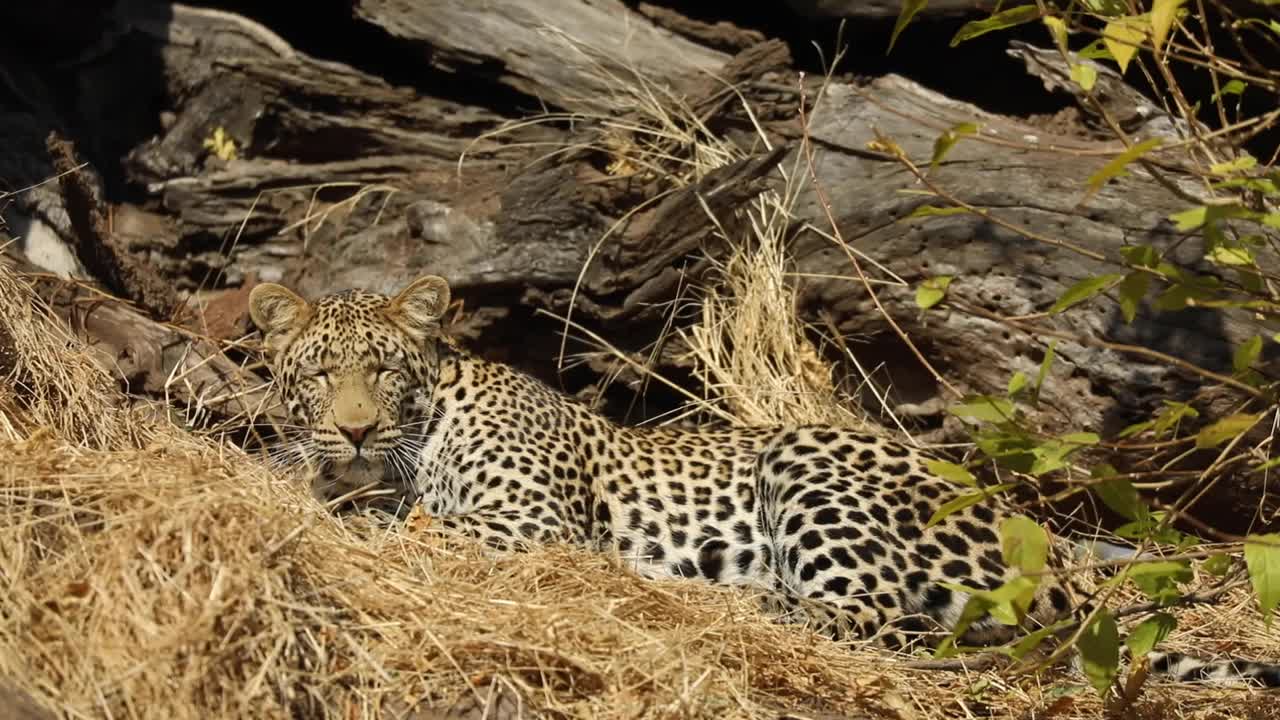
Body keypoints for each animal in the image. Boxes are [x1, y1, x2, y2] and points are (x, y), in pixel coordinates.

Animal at [249, 274, 1280, 688]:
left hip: (809, 462)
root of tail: (1059, 557)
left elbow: (419, 532)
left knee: (881, 619)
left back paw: (727, 600)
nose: (354, 427)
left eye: (383, 370)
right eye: (320, 374)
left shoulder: (532, 522)